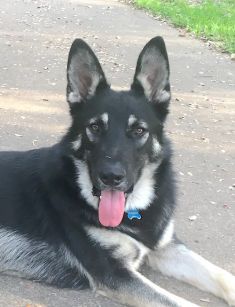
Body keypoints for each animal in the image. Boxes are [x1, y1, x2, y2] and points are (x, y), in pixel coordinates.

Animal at [0, 37, 234, 306]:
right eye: (95, 127)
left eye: (139, 130)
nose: (111, 177)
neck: (133, 210)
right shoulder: (115, 273)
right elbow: (180, 302)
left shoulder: (167, 248)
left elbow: (222, 275)